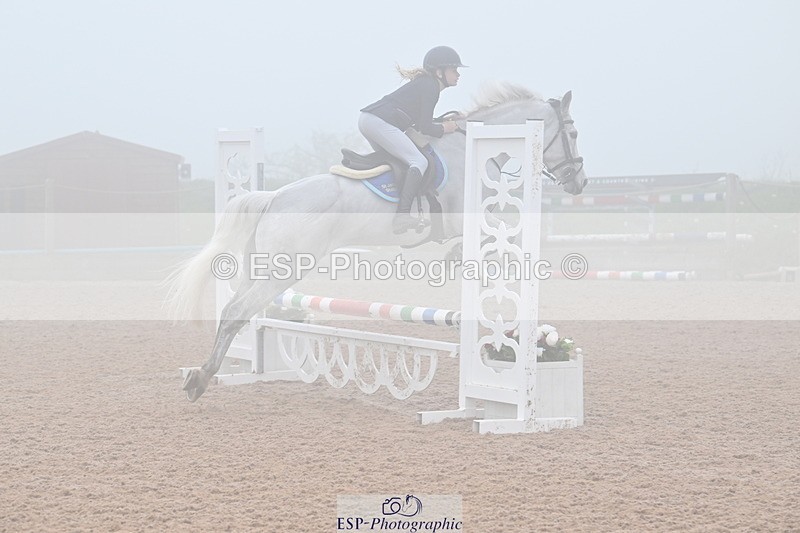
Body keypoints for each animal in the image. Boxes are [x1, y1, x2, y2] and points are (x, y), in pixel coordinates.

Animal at [168, 82, 587, 401]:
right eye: (573, 133)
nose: (579, 183)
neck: (469, 146)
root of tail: (274, 197)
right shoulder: (461, 217)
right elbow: (493, 232)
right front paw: (456, 258)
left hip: (262, 267)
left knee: (233, 310)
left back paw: (203, 375)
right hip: (283, 270)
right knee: (238, 311)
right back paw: (202, 378)